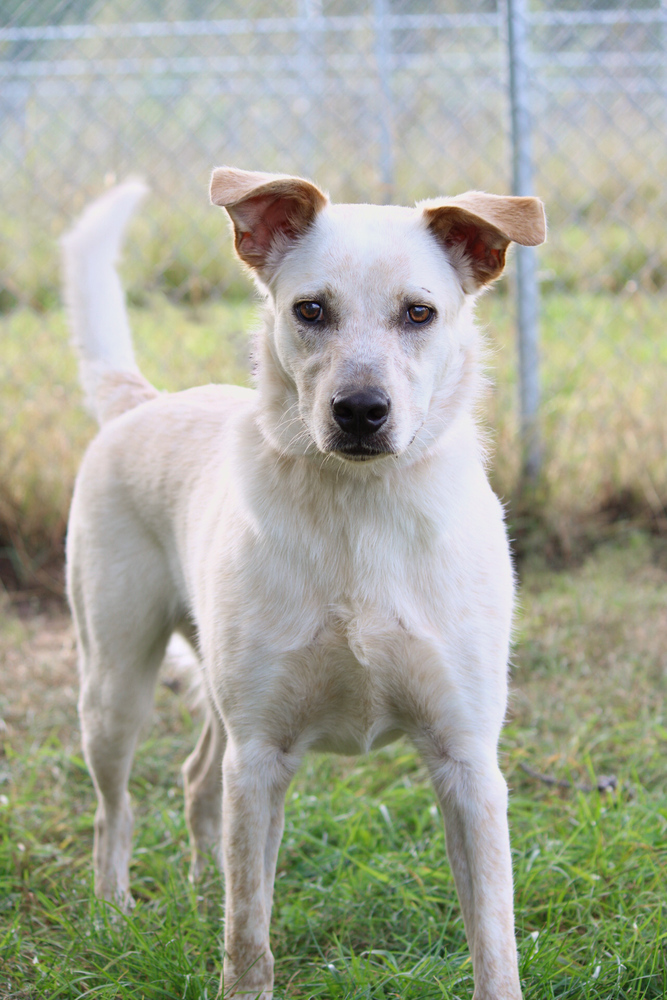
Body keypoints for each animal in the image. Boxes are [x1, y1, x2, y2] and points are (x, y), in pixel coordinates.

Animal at [60, 168, 544, 996]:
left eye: (419, 313)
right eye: (310, 310)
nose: (359, 411)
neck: (359, 511)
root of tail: (143, 402)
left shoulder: (467, 760)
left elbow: (492, 936)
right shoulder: (260, 757)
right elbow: (248, 934)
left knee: (197, 779)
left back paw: (196, 895)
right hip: (116, 687)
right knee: (115, 811)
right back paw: (111, 913)